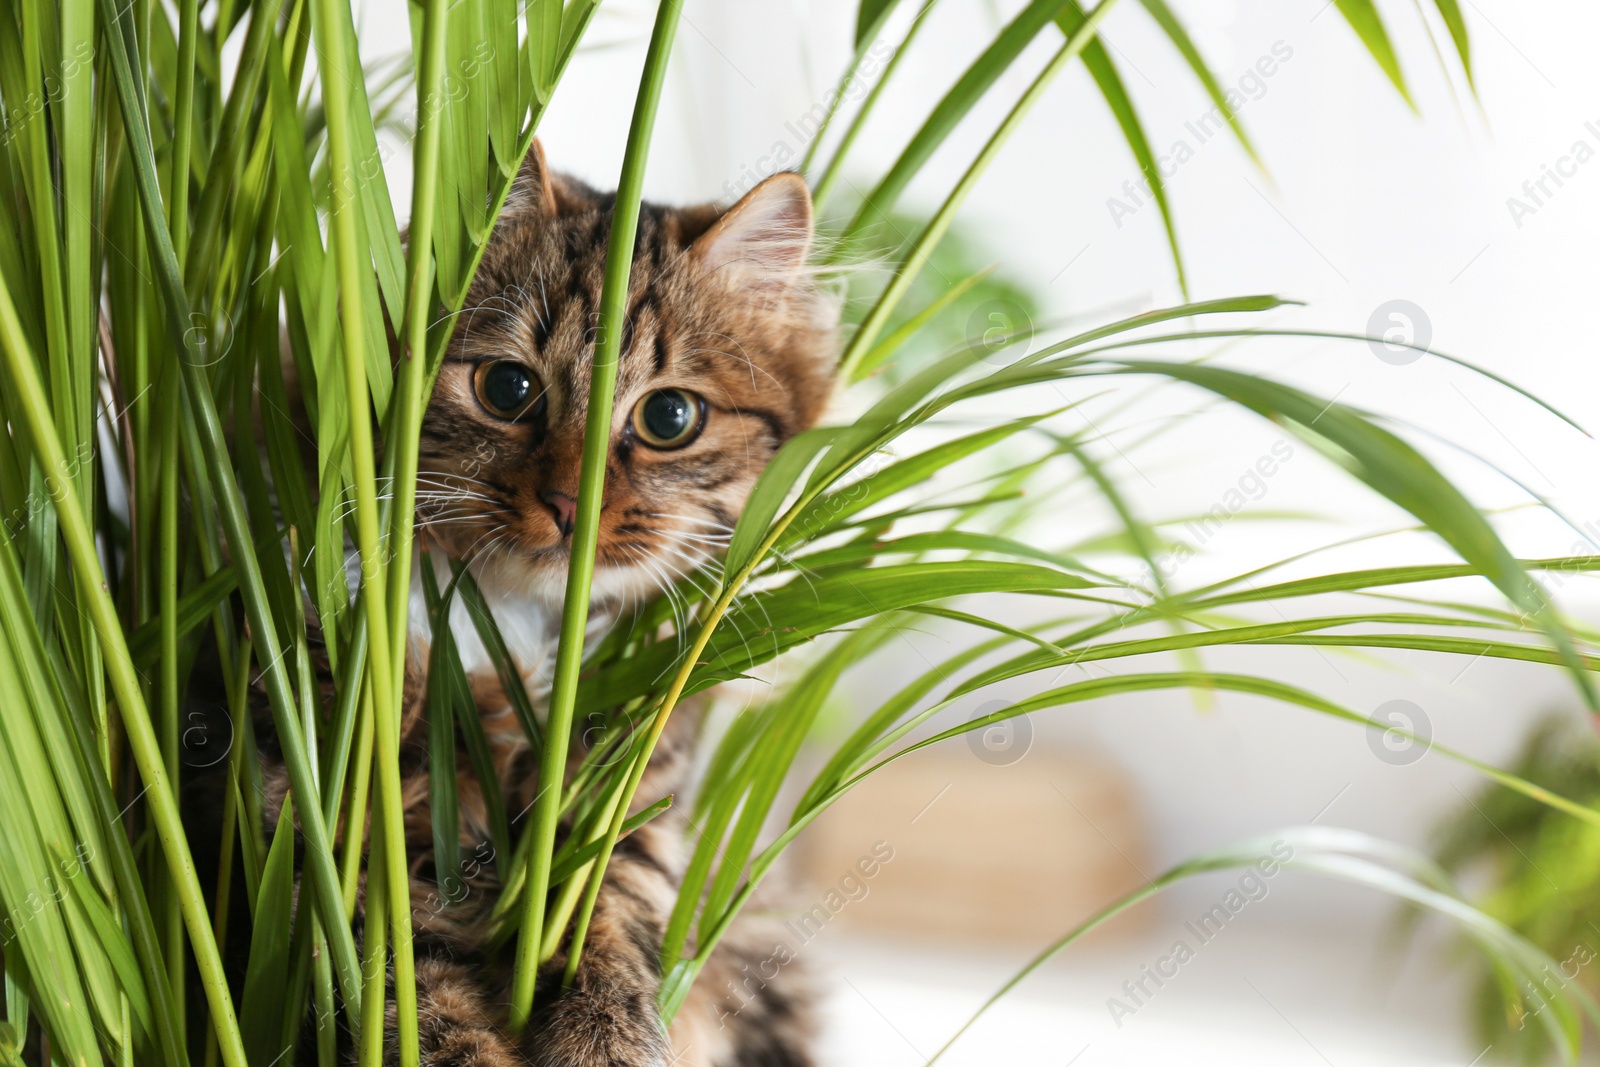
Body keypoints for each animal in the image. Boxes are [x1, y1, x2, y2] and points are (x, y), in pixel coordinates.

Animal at [233, 143, 851, 1067]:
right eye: (508, 387)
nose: (569, 504)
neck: (513, 632)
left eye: (671, 414)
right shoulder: (346, 833)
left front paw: (608, 1039)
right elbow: (421, 999)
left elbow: (607, 912)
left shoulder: (632, 808)